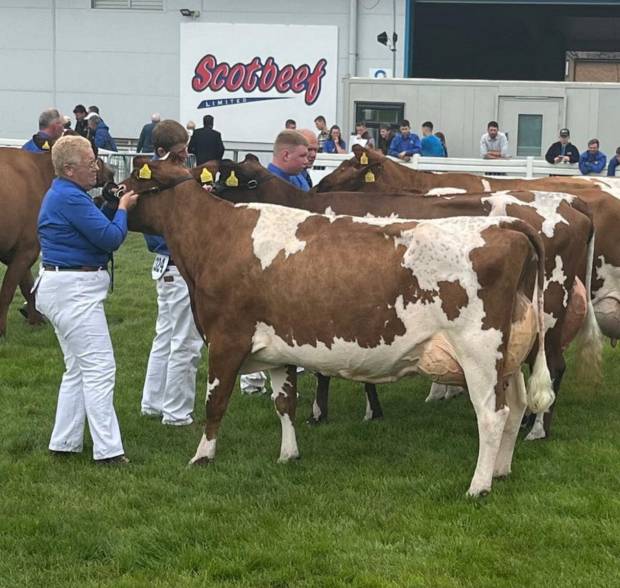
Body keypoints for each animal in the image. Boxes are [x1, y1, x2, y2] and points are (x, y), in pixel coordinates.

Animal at [0, 146, 114, 336]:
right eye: (94, 152)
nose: (111, 172)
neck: (41, 171)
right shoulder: (28, 248)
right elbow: (8, 291)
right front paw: (2, 331)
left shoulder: (17, 251)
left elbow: (28, 287)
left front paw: (36, 320)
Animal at [117, 160, 556, 496]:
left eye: (135, 178)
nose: (109, 192)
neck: (217, 235)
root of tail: (505, 226)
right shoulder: (278, 346)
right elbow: (285, 403)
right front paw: (288, 454)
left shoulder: (226, 340)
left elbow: (215, 403)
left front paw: (202, 456)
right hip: (509, 357)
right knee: (517, 407)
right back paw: (501, 470)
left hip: (479, 354)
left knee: (492, 415)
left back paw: (479, 485)